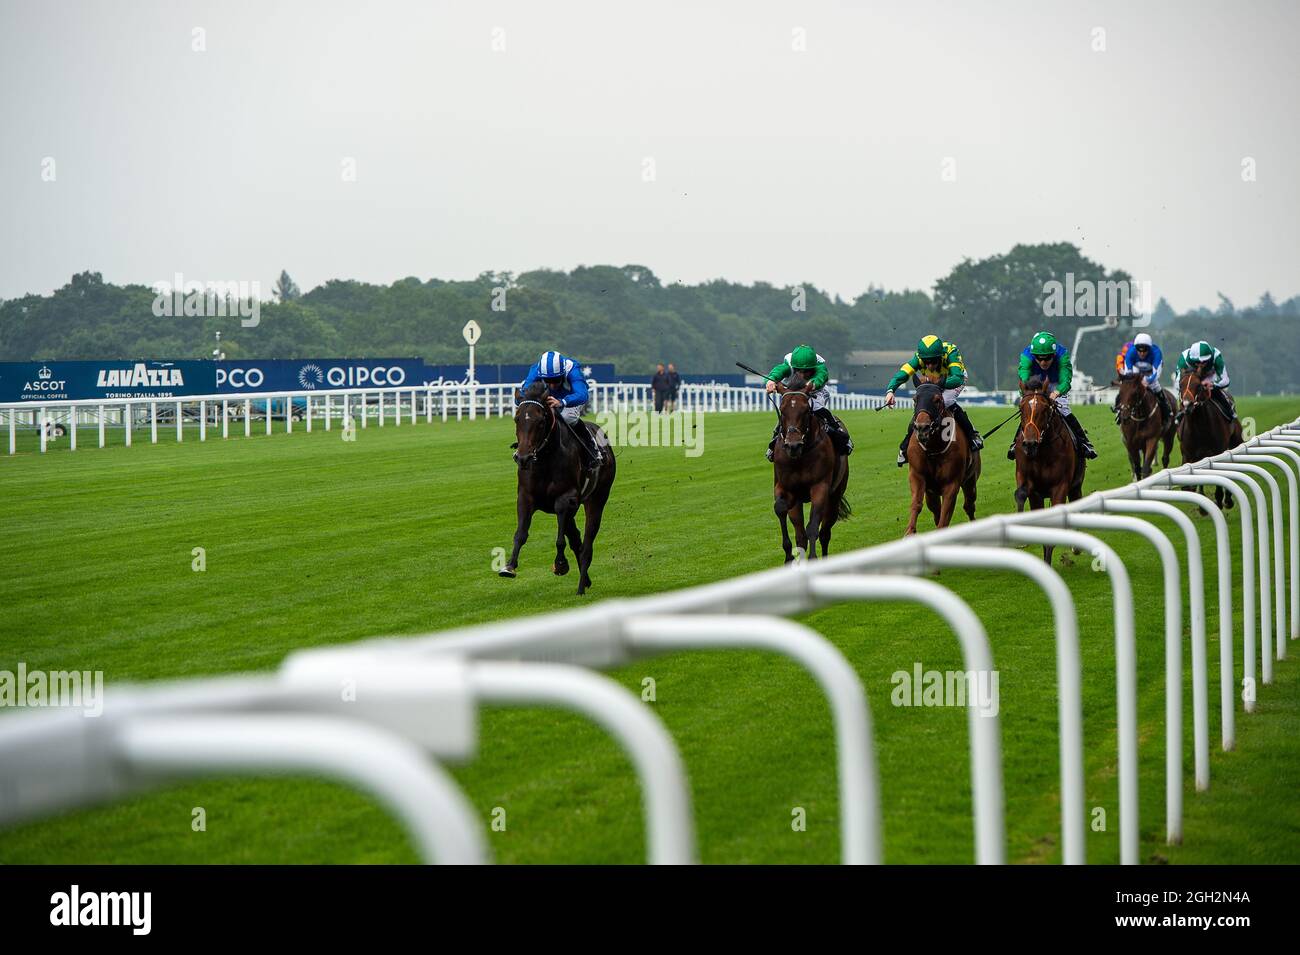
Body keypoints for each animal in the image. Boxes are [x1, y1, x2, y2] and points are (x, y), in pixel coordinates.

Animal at [499, 379, 616, 589]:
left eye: (540, 421)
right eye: (517, 419)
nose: (523, 458)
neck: (545, 459)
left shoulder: (565, 499)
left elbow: (560, 539)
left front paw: (560, 564)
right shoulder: (525, 497)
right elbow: (521, 533)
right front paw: (509, 566)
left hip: (597, 498)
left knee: (587, 540)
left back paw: (582, 581)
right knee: (576, 538)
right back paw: (585, 580)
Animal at [769, 369, 852, 561]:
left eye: (806, 410)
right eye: (782, 410)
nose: (793, 445)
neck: (800, 457)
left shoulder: (820, 486)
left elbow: (813, 527)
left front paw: (813, 558)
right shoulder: (785, 487)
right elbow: (780, 508)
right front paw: (788, 557)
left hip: (835, 495)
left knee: (825, 533)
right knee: (800, 534)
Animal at [904, 384, 982, 540]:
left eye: (937, 400)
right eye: (915, 399)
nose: (922, 428)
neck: (933, 448)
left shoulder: (952, 483)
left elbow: (946, 513)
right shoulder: (917, 475)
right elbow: (917, 503)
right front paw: (909, 532)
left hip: (970, 481)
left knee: (969, 505)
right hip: (931, 492)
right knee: (936, 510)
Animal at [1013, 376, 1086, 563]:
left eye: (1045, 408)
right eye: (1021, 408)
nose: (1030, 444)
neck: (1043, 451)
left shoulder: (1060, 486)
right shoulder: (1029, 484)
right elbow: (1020, 494)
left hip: (1076, 484)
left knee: (1076, 500)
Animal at [1180, 369, 1237, 511]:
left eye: (1199, 386)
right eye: (1180, 385)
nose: (1187, 405)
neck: (1200, 428)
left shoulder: (1217, 452)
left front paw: (1219, 498)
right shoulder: (1189, 455)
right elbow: (1193, 482)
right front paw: (1202, 506)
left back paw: (1227, 499)